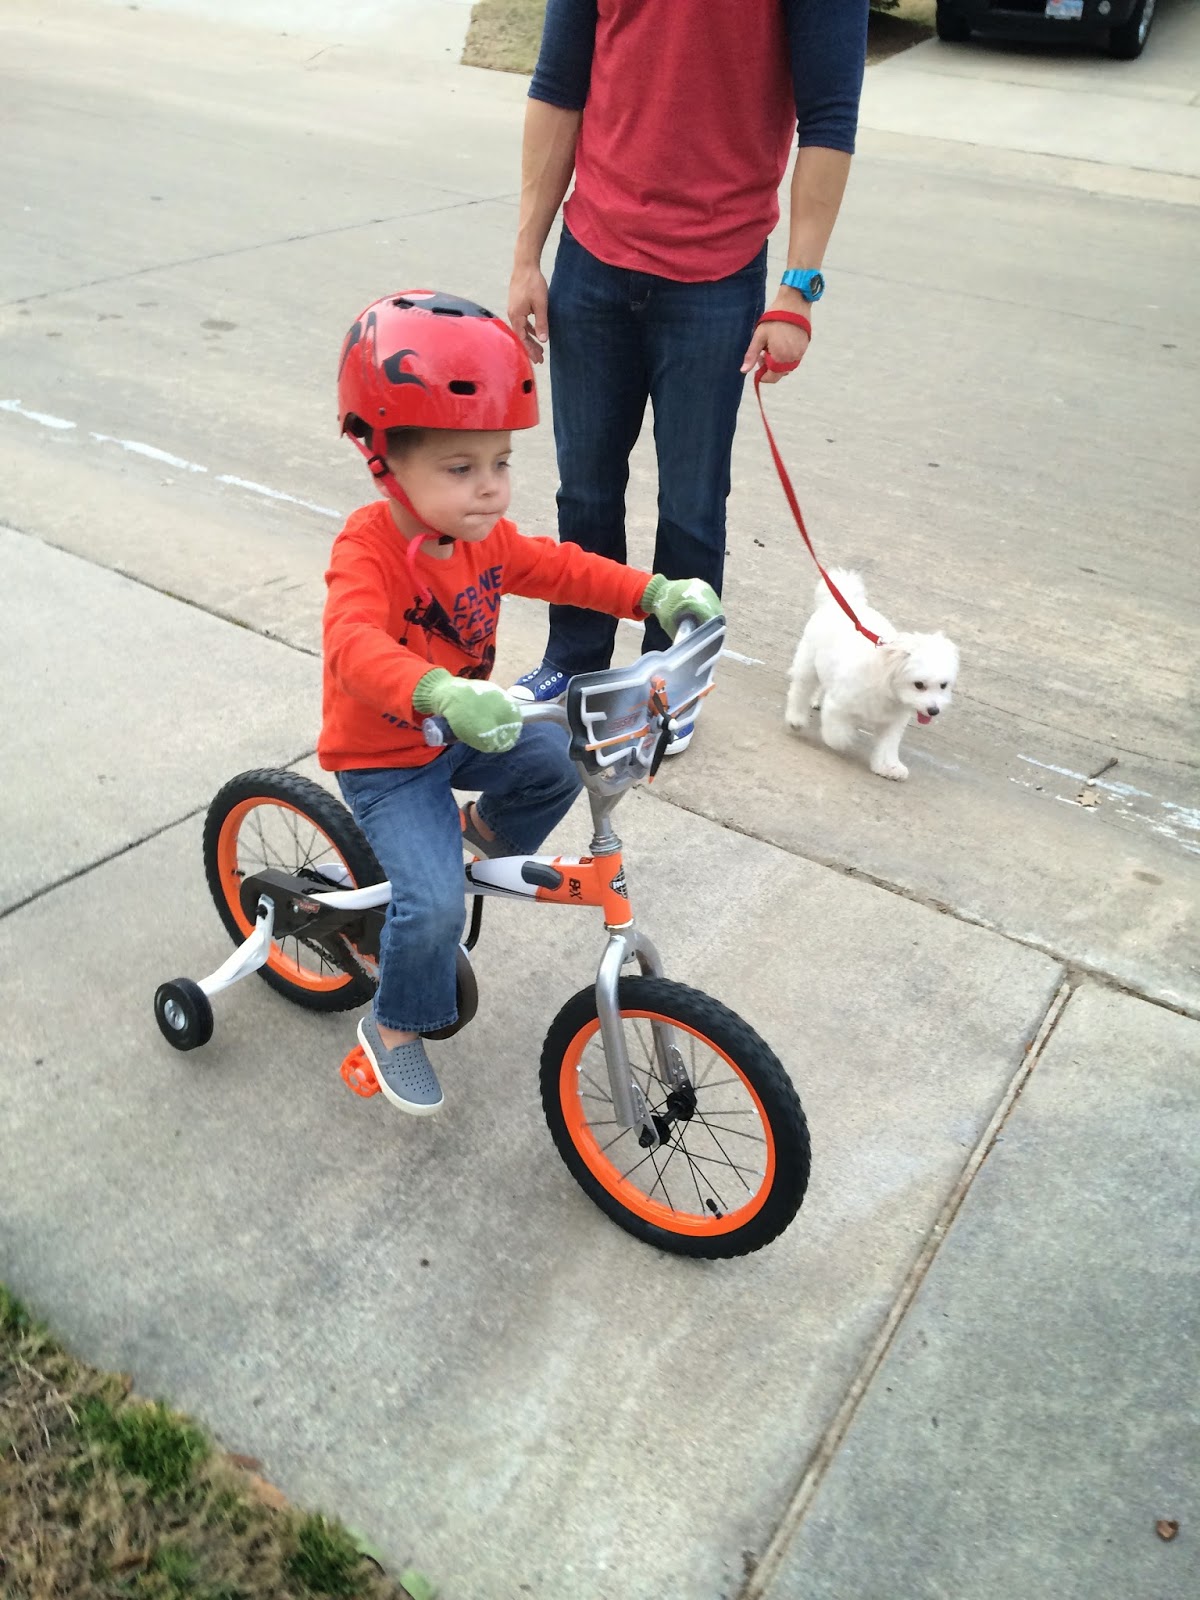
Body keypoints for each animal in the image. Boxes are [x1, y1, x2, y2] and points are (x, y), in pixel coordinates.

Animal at [785, 570, 959, 781]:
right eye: (919, 684)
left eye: (943, 685)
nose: (934, 711)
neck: (886, 684)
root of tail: (843, 602)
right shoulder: (839, 705)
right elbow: (838, 734)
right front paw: (844, 739)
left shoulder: (893, 722)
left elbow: (887, 747)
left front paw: (889, 767)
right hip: (808, 664)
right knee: (801, 689)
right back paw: (796, 718)